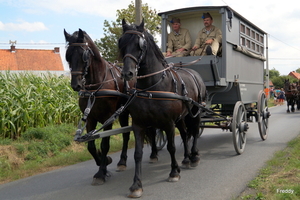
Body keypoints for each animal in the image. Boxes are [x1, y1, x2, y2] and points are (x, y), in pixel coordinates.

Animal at [118, 19, 206, 198]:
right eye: (121, 43)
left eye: (140, 44)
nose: (127, 74)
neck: (152, 87)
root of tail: (194, 73)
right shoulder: (139, 124)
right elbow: (138, 154)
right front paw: (136, 185)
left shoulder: (168, 123)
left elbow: (171, 147)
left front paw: (174, 172)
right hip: (182, 117)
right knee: (185, 134)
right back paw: (186, 158)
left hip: (195, 113)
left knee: (194, 132)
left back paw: (194, 156)